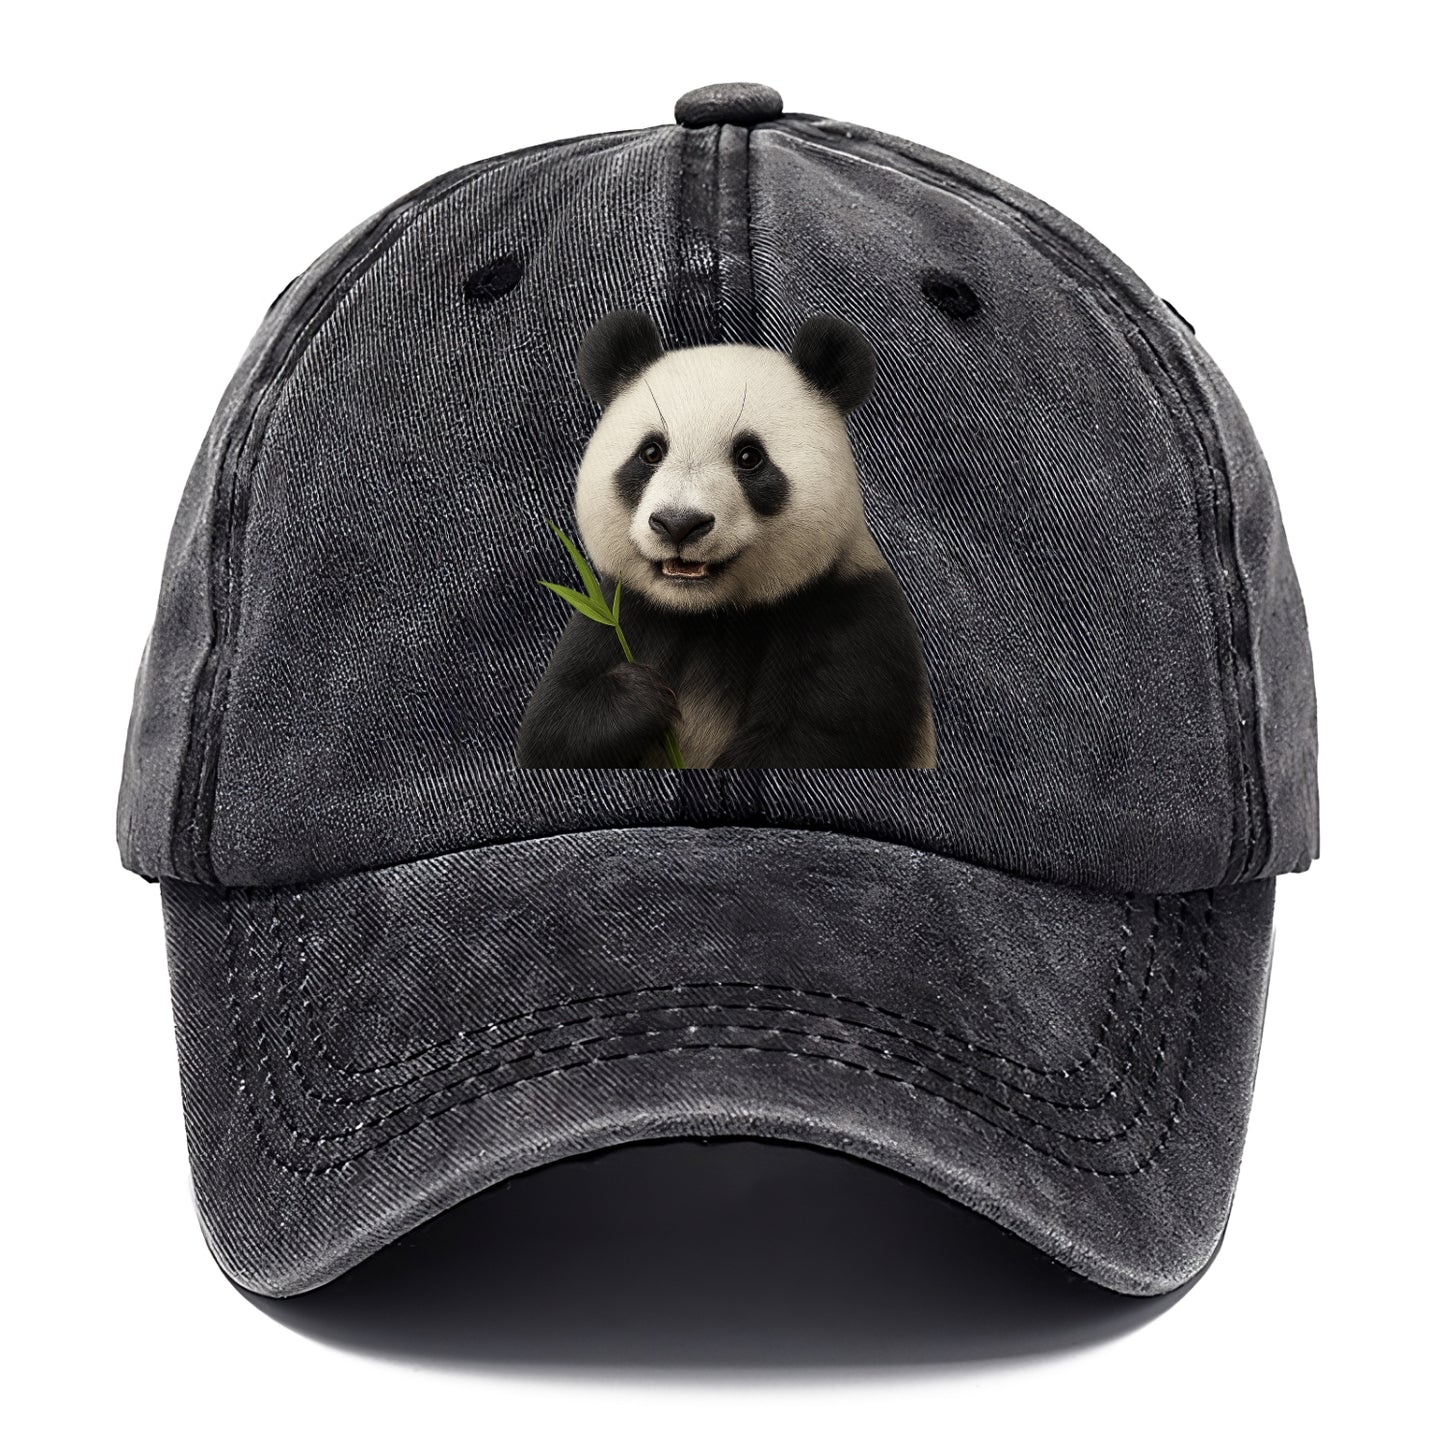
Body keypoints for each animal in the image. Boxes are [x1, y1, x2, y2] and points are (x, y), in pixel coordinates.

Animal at [516, 310, 936, 769]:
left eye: (749, 457)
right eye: (651, 452)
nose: (679, 524)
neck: (707, 616)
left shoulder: (850, 615)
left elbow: (810, 741)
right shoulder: (620, 612)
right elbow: (549, 728)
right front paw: (639, 697)